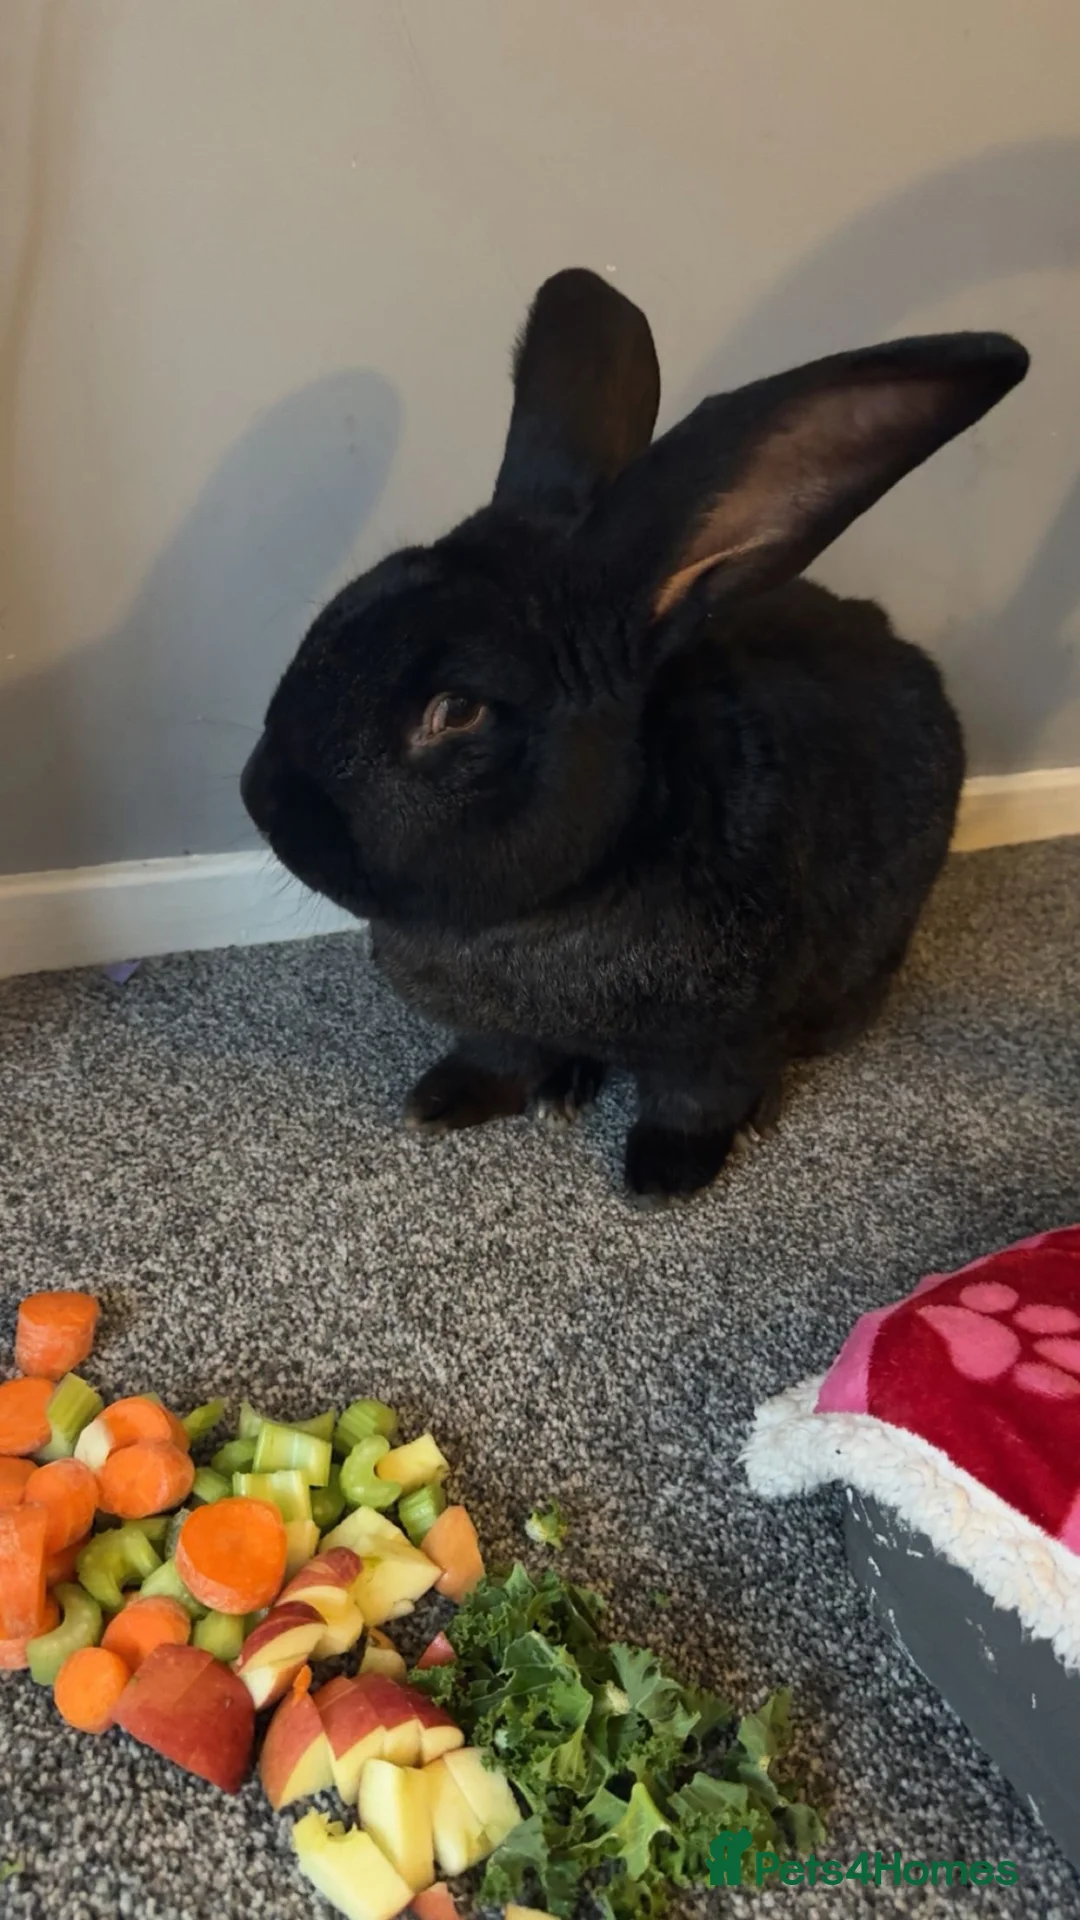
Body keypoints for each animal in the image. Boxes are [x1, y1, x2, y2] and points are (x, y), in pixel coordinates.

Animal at [242, 268, 1028, 1205]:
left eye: (457, 710)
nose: (259, 798)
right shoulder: (499, 1027)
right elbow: (500, 1056)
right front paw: (441, 1103)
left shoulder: (724, 1037)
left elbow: (695, 1098)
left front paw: (662, 1176)